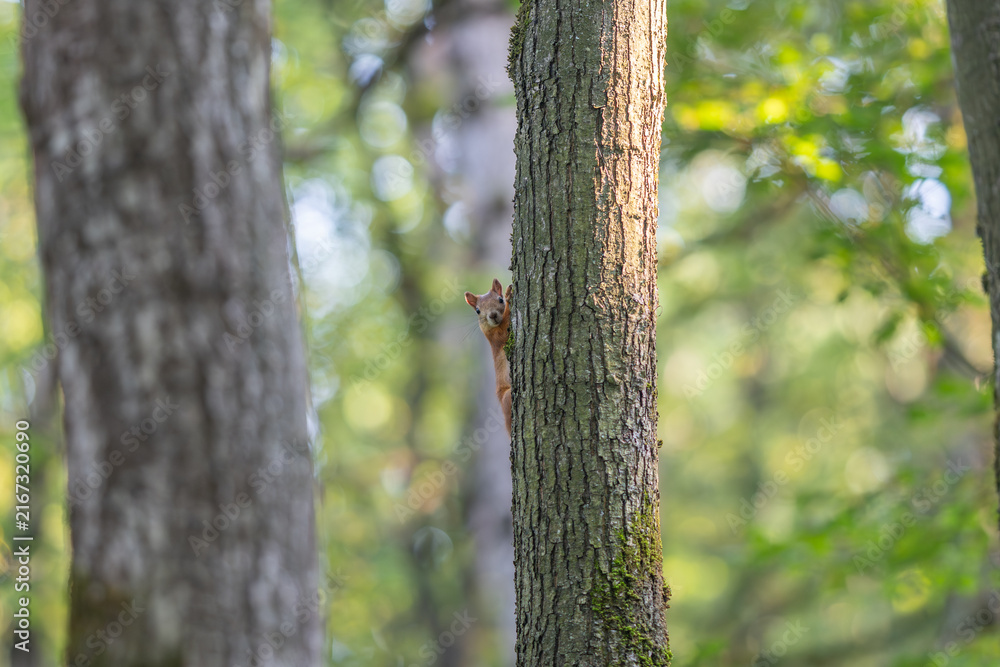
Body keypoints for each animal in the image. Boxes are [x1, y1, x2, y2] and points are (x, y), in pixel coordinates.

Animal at [465, 278, 513, 436]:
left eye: (499, 299)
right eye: (478, 310)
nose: (492, 315)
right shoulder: (496, 338)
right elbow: (504, 330)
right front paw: (509, 296)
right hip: (507, 398)